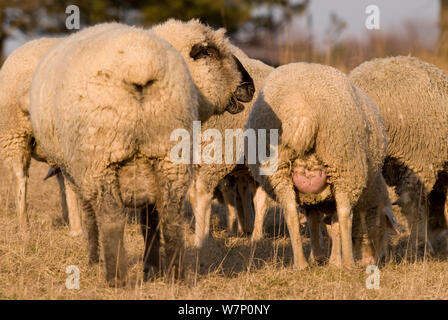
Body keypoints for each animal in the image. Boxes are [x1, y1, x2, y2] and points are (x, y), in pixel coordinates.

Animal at [245, 62, 388, 268]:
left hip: (278, 171)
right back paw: (348, 264)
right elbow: (334, 224)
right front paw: (334, 261)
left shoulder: (310, 196)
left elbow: (313, 222)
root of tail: (301, 113)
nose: (376, 259)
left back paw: (301, 264)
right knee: (344, 214)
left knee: (290, 213)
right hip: (343, 165)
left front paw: (317, 257)